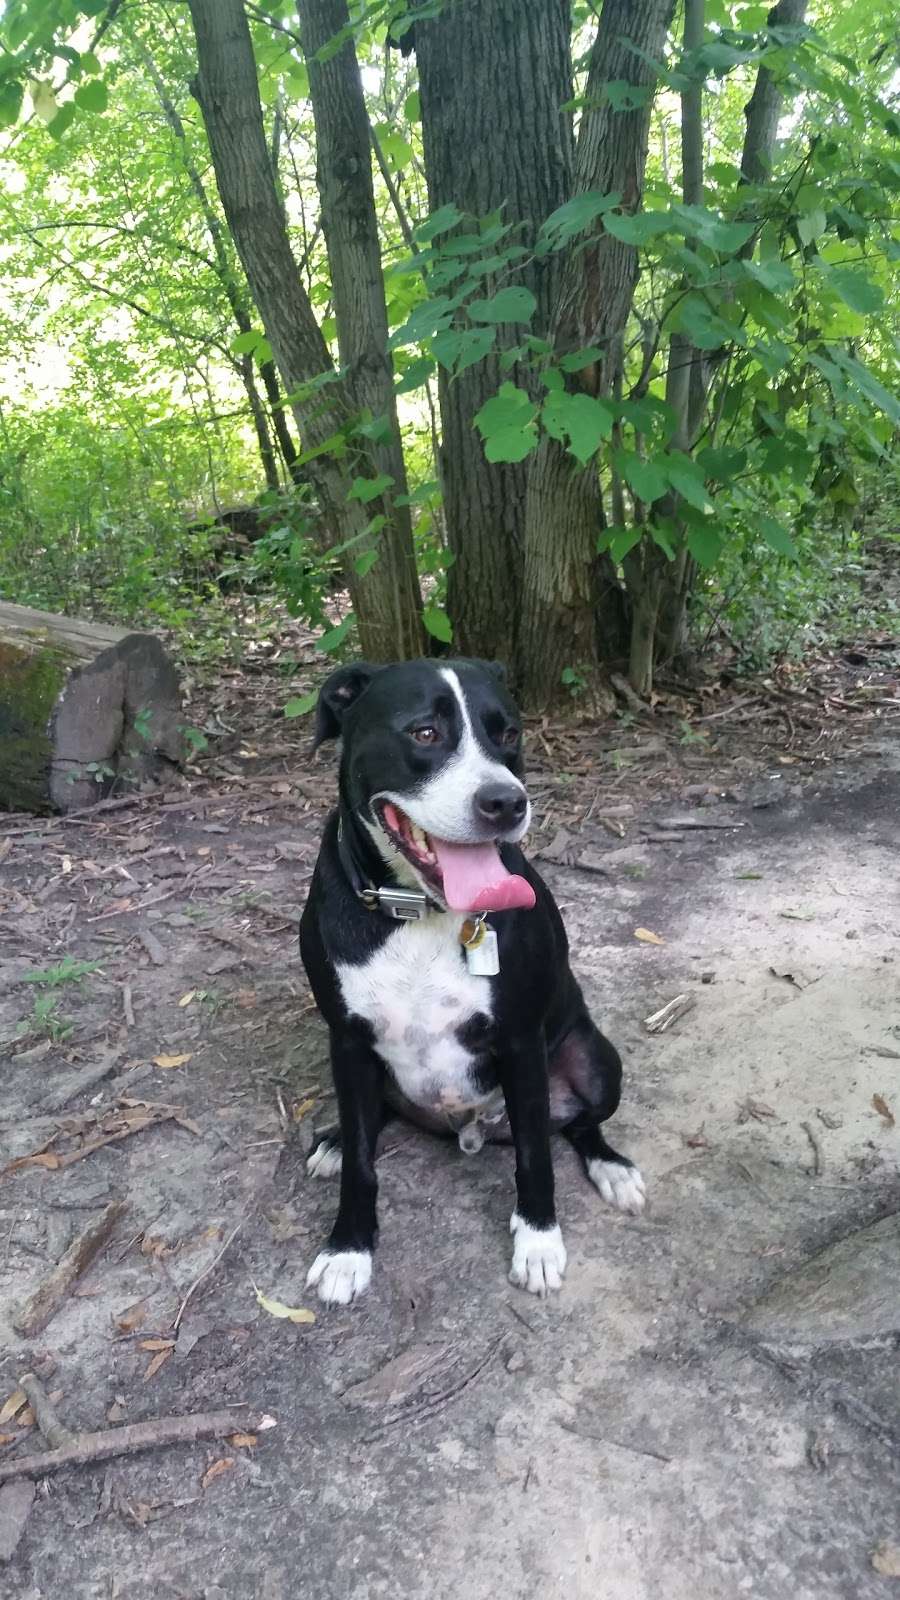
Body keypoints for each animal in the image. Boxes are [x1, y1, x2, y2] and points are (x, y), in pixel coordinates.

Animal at [297, 656, 640, 1305]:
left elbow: (535, 1155)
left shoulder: (521, 1042)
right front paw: (348, 1248)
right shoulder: (347, 1041)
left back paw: (611, 1166)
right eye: (424, 732)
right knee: (371, 1120)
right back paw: (332, 1141)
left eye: (509, 734)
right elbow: (361, 1163)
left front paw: (537, 1242)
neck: (418, 912)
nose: (506, 802)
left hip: (595, 1060)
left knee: (579, 1123)